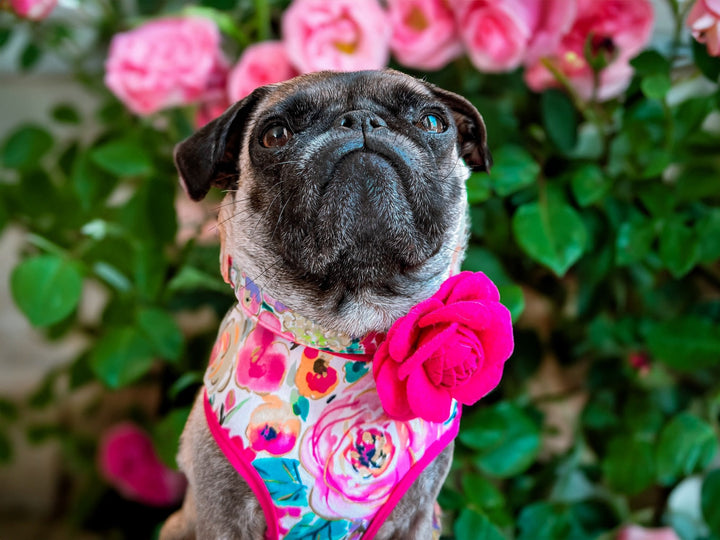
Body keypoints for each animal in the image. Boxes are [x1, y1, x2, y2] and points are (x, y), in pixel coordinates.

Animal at [160, 71, 492, 540]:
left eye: (432, 121)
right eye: (274, 135)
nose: (360, 120)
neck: (343, 335)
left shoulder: (415, 518)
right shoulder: (222, 518)